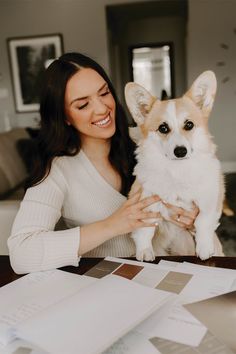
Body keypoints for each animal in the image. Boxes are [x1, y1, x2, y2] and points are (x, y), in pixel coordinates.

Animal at [124, 71, 224, 260]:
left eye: (189, 125)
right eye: (163, 128)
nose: (180, 151)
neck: (178, 170)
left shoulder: (211, 196)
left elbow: (203, 220)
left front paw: (205, 247)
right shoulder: (146, 200)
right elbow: (145, 229)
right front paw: (145, 251)